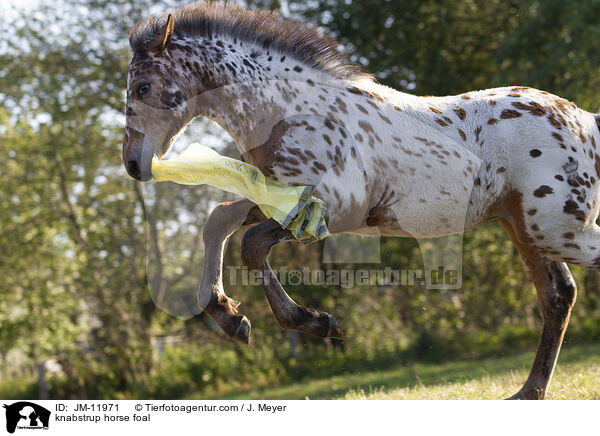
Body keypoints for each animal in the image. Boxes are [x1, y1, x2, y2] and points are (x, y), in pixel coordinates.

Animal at [123, 2, 600, 398]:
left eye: (143, 87)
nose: (132, 163)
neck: (290, 109)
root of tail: (586, 121)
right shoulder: (280, 195)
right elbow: (218, 221)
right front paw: (231, 318)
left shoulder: (336, 207)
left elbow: (251, 244)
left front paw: (315, 323)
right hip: (525, 229)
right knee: (558, 296)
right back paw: (528, 393)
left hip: (556, 229)